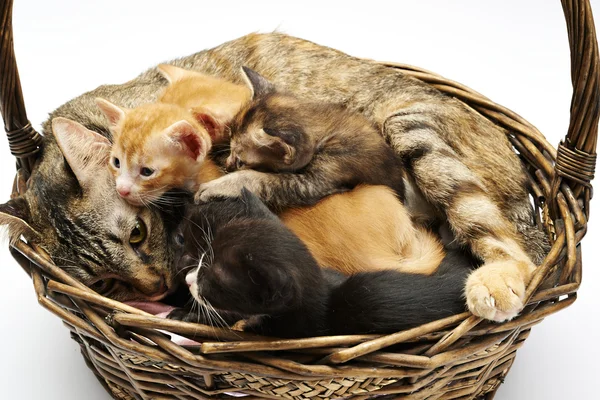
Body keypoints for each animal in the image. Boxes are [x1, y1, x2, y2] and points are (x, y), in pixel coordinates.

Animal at [0, 33, 548, 322]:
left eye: (137, 232)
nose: (156, 287)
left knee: (509, 245)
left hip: (410, 127)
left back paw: (496, 281)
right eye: (105, 281)